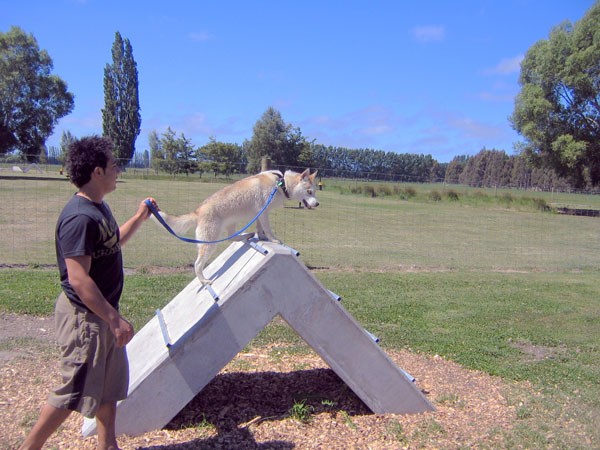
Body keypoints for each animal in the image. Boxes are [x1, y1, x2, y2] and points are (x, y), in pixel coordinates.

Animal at [157, 169, 322, 284]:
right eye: (309, 191)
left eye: (314, 192)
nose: (317, 204)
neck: (281, 184)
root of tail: (198, 211)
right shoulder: (263, 212)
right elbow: (269, 230)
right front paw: (274, 240)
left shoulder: (260, 213)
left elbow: (260, 228)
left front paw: (261, 237)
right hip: (209, 243)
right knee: (198, 265)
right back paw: (204, 281)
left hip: (229, 225)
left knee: (232, 238)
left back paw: (247, 235)